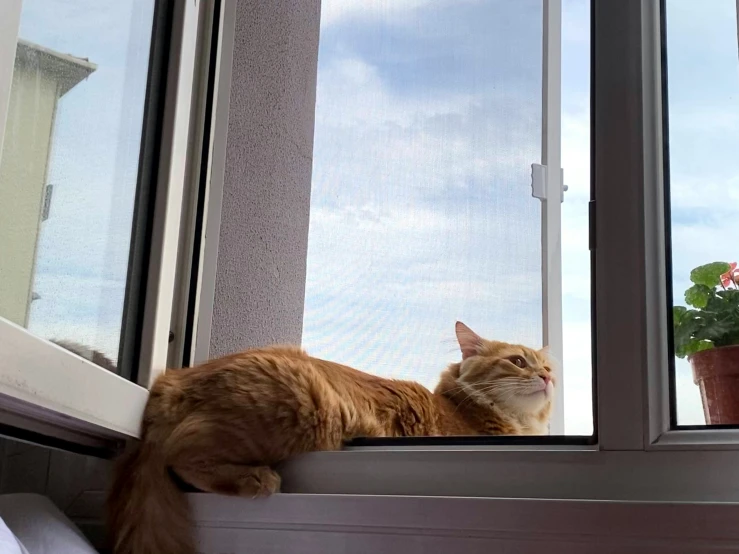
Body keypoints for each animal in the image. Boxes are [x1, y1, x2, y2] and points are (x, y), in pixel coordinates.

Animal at [110, 320, 556, 552]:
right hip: (303, 406)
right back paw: (256, 478)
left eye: (547, 365)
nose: (548, 377)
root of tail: (170, 380)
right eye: (518, 362)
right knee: (180, 455)